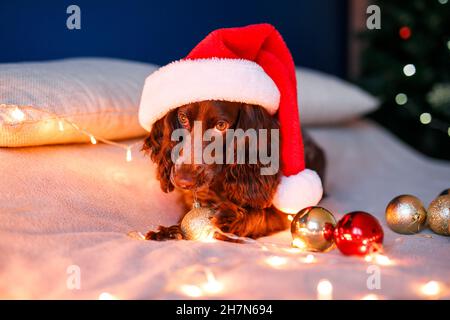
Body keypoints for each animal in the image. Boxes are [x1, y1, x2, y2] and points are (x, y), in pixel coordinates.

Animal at [142, 100, 326, 240]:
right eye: (183, 118)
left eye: (221, 125)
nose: (183, 182)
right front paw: (170, 231)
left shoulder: (281, 213)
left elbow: (260, 215)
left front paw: (233, 218)